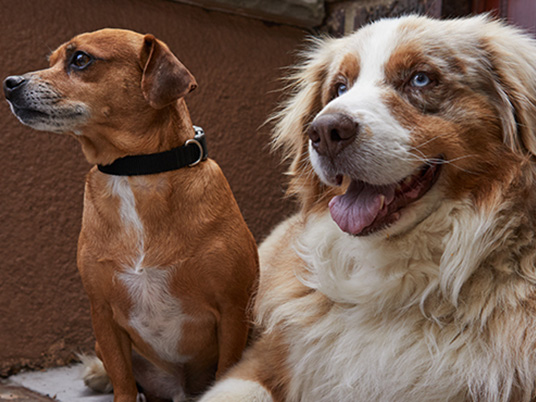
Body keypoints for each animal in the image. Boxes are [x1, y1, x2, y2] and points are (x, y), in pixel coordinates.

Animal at [3, 29, 260, 402]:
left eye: (80, 59)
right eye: (51, 60)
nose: (8, 83)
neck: (135, 174)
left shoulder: (233, 310)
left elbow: (228, 370)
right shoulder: (103, 316)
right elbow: (123, 381)